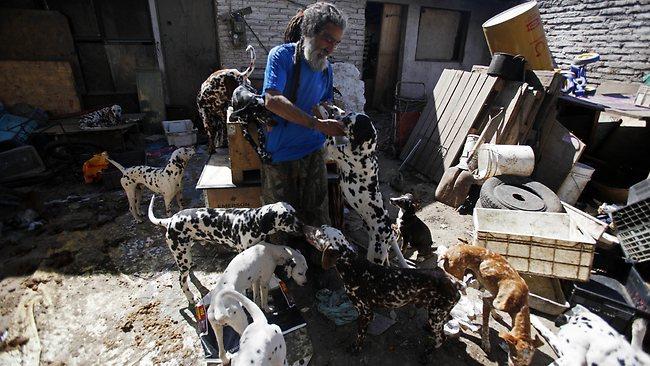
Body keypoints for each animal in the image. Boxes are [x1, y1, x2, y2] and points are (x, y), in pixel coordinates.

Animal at [147, 197, 302, 304]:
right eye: (287, 218)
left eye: (295, 213)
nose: (302, 226)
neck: (252, 222)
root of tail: (170, 220)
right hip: (182, 256)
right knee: (181, 280)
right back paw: (190, 297)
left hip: (186, 254)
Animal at [302, 224, 458, 354]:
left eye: (319, 232)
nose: (304, 227)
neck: (352, 266)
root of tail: (454, 284)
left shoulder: (366, 313)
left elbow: (360, 335)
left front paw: (356, 348)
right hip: (435, 313)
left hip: (436, 315)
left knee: (441, 338)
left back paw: (428, 351)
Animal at [318, 104, 408, 268]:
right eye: (347, 114)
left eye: (348, 121)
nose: (339, 115)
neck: (366, 151)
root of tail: (389, 232)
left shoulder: (332, 149)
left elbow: (328, 136)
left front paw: (324, 113)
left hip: (375, 254)